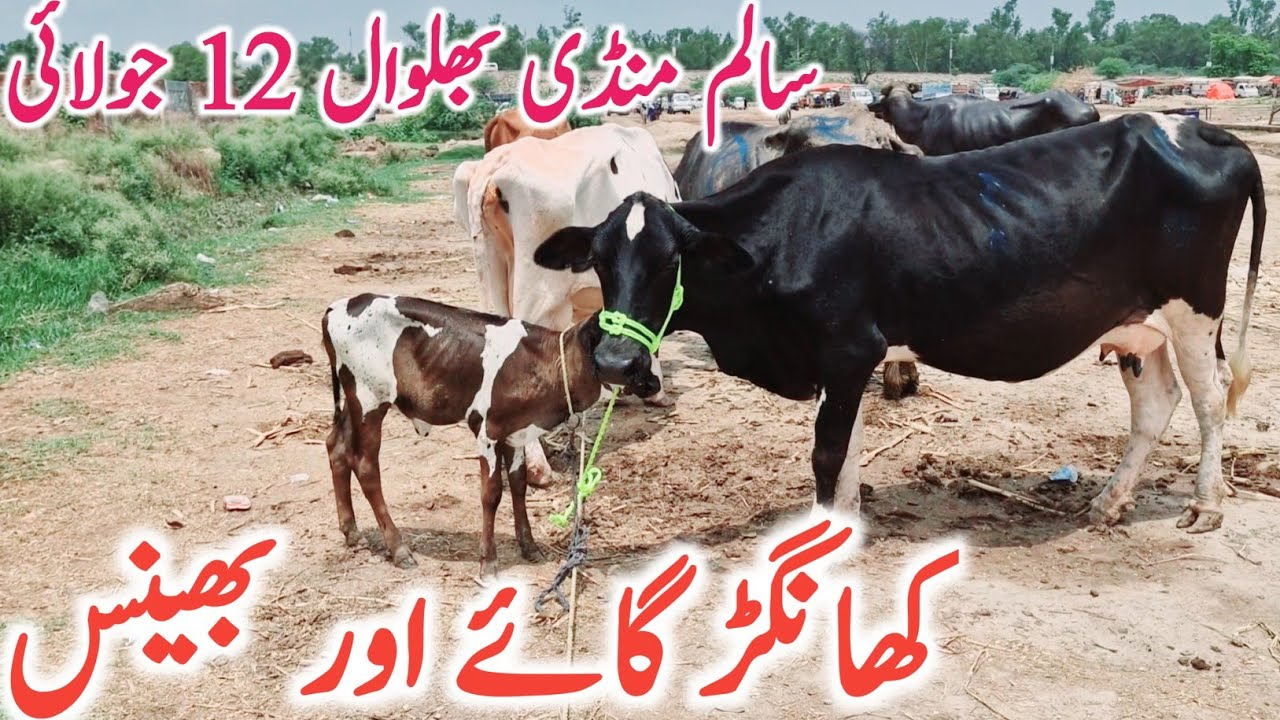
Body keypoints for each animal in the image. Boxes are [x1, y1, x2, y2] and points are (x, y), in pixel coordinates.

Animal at [322, 294, 605, 577]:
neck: (543, 360)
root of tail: (340, 305)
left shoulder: (515, 432)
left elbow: (519, 484)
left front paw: (530, 547)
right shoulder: (487, 430)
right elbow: (491, 494)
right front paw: (488, 562)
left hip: (354, 402)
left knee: (336, 447)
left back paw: (351, 532)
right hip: (369, 400)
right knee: (366, 467)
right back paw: (398, 549)